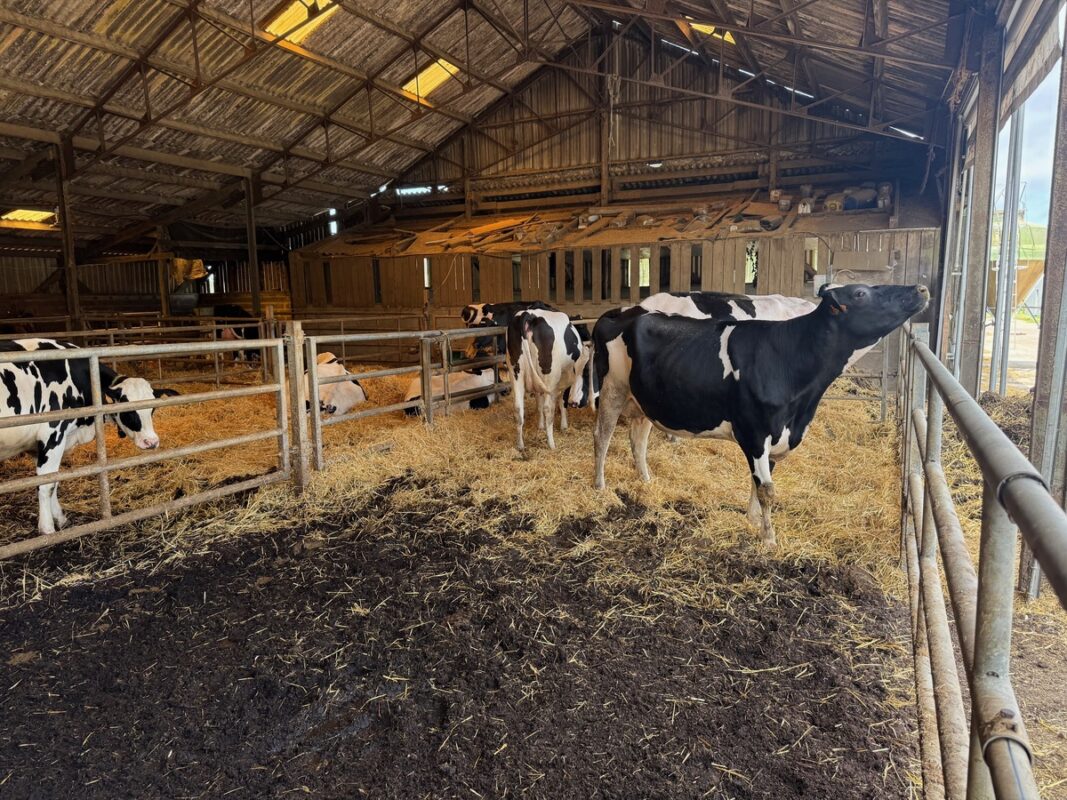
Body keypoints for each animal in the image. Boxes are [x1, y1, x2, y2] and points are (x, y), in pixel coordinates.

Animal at [0, 339, 178, 535]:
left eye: (152, 408)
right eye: (128, 410)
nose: (151, 442)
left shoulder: (39, 446)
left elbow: (52, 481)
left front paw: (60, 519)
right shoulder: (52, 435)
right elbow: (46, 485)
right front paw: (47, 529)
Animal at [506, 309, 593, 453]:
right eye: (583, 327)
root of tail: (529, 314)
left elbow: (539, 404)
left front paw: (540, 426)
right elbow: (562, 402)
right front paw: (564, 426)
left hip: (516, 374)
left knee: (518, 408)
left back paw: (520, 445)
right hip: (548, 377)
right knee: (548, 408)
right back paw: (551, 443)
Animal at [592, 283, 928, 547]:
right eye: (860, 293)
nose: (921, 288)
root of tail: (622, 311)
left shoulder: (778, 436)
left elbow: (760, 483)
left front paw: (753, 520)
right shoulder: (754, 432)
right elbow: (766, 489)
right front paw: (768, 539)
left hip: (642, 400)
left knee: (637, 440)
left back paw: (646, 480)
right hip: (612, 388)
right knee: (603, 436)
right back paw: (599, 485)